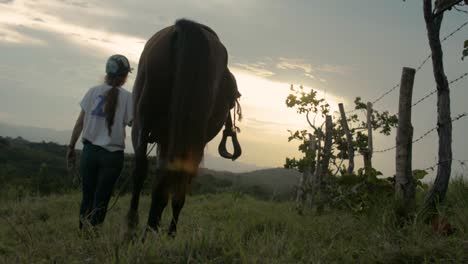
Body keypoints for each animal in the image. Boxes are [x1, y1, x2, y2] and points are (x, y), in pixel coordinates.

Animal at [126, 19, 239, 236]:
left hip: (143, 123)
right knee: (171, 179)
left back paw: (135, 226)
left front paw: (151, 227)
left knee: (142, 171)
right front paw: (164, 230)